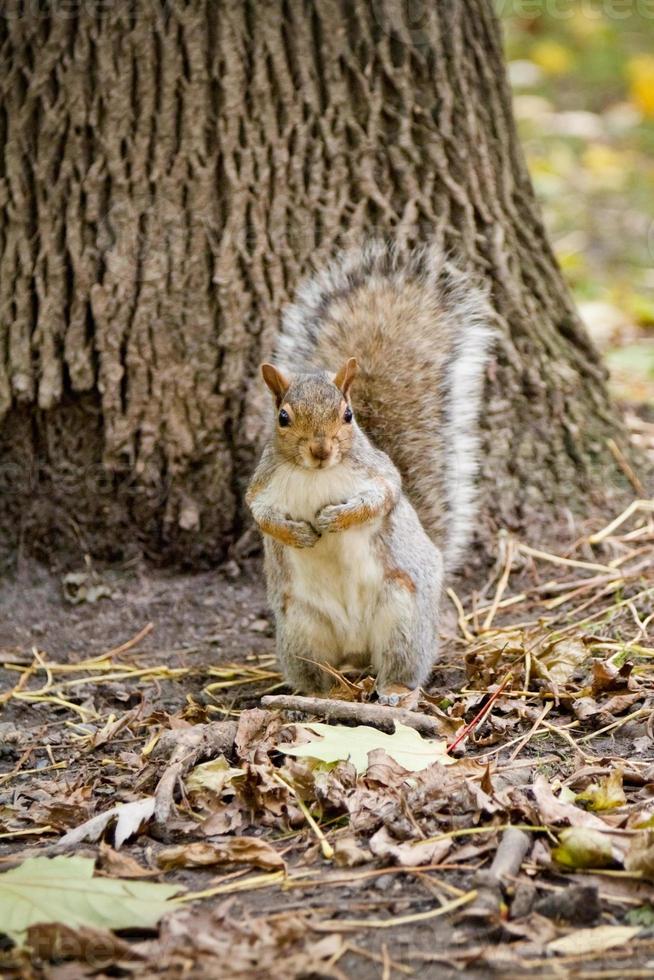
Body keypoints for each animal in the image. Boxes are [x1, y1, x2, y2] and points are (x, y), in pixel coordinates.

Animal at [249, 241, 494, 700]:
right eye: (283, 418)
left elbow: (381, 499)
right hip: (301, 628)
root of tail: (357, 649)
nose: (321, 450)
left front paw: (336, 518)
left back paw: (396, 689)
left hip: (402, 615)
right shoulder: (261, 487)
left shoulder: (379, 475)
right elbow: (261, 517)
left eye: (347, 415)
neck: (316, 474)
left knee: (401, 664)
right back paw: (322, 694)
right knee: (319, 672)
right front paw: (297, 533)